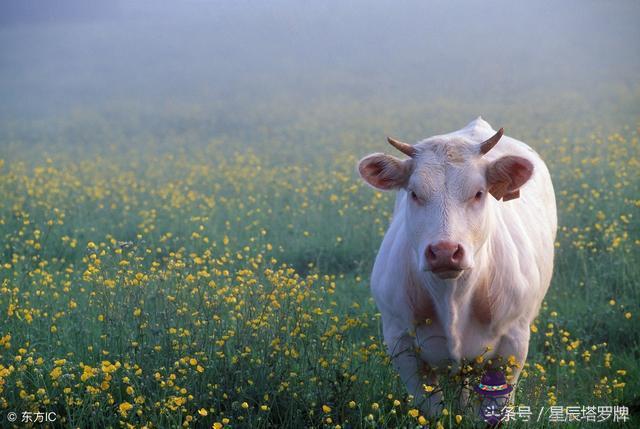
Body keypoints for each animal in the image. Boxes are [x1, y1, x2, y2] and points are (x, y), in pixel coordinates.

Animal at [358, 118, 556, 414]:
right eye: (414, 193)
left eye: (479, 193)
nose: (444, 252)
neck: (452, 297)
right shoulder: (401, 343)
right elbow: (431, 410)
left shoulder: (514, 343)